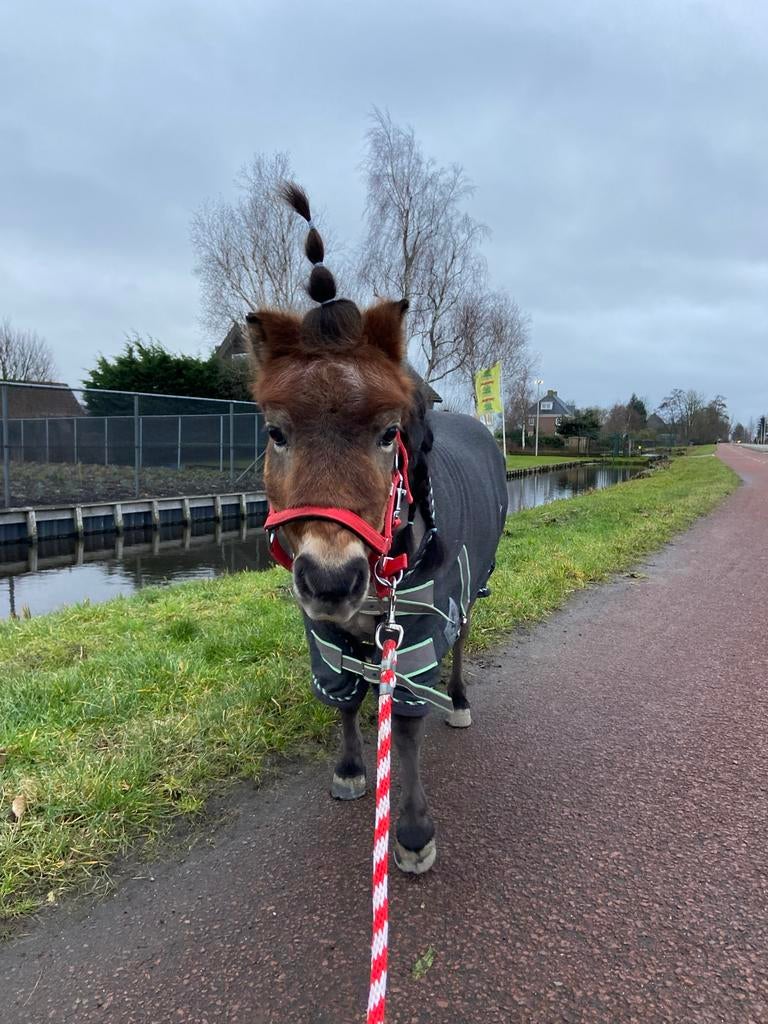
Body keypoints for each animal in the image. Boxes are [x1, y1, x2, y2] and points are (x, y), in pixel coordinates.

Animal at [246, 183, 508, 873]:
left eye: (389, 433)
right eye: (276, 432)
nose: (331, 578)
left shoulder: (416, 630)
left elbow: (408, 727)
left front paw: (411, 831)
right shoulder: (322, 630)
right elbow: (343, 695)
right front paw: (349, 768)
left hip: (471, 590)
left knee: (461, 645)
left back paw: (459, 701)